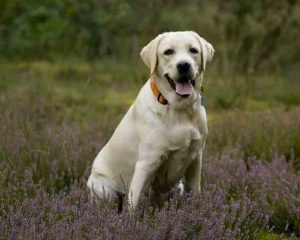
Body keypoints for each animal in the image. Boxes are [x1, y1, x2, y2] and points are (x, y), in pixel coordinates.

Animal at [88, 31, 214, 209]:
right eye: (168, 52)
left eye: (193, 50)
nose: (184, 65)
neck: (179, 108)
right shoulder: (147, 163)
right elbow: (133, 206)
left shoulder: (195, 159)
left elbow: (195, 194)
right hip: (105, 190)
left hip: (178, 187)